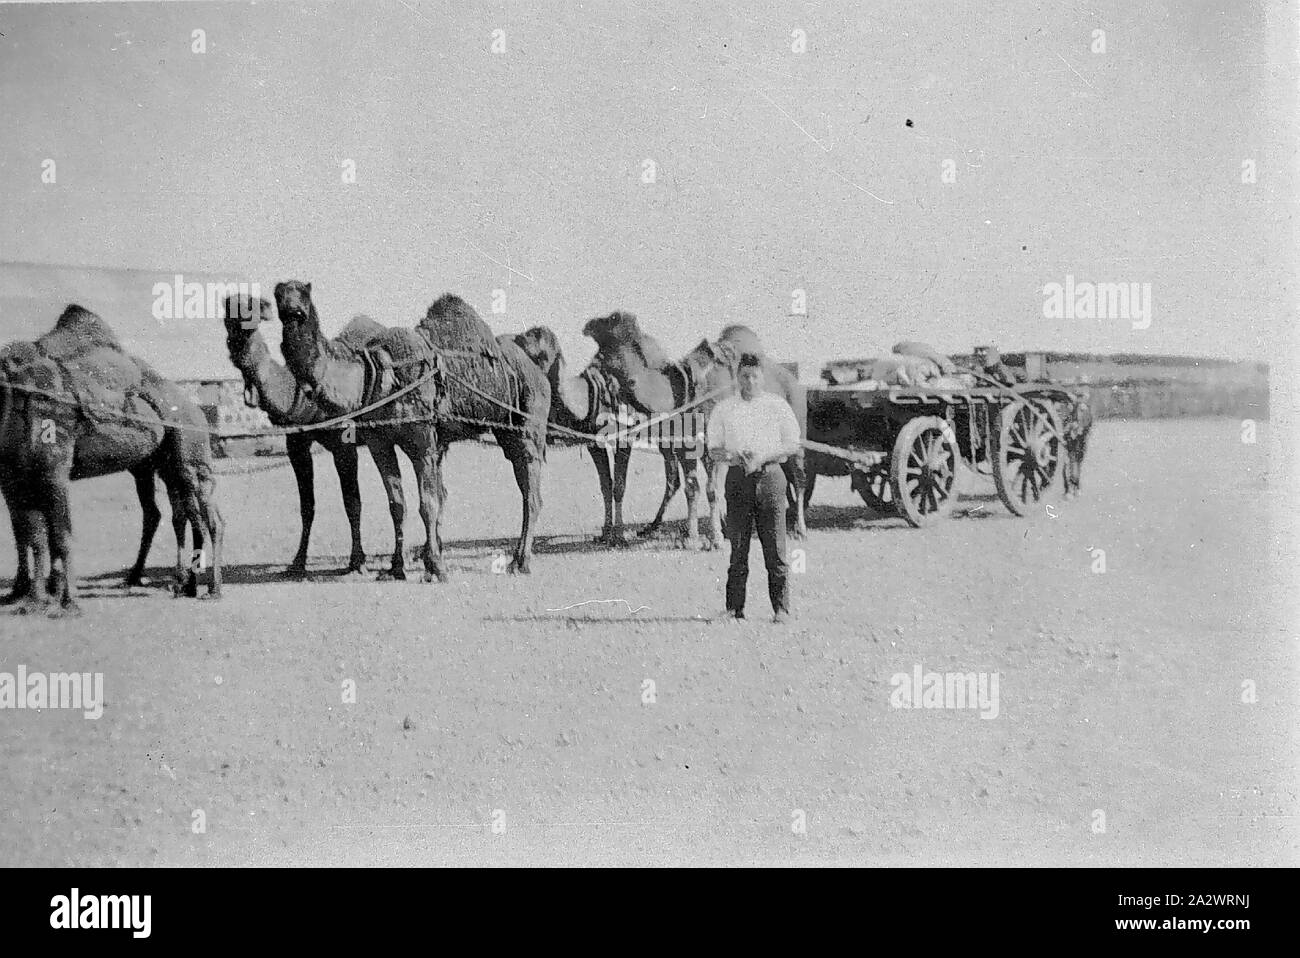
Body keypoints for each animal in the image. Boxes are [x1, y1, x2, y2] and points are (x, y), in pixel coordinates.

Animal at [0, 304, 223, 613]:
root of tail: (198, 409)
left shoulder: (52, 469)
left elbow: (57, 534)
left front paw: (65, 601)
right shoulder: (12, 475)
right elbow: (26, 533)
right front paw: (27, 596)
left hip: (189, 451)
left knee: (204, 516)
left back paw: (210, 588)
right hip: (158, 465)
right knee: (175, 514)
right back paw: (175, 583)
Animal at [222, 293, 390, 574]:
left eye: (252, 305)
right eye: (228, 306)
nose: (240, 325)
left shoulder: (344, 445)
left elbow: (352, 502)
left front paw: (357, 560)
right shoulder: (296, 443)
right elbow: (306, 506)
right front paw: (297, 562)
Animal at [275, 280, 548, 579]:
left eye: (303, 294)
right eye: (278, 294)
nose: (293, 310)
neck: (377, 375)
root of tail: (538, 371)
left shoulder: (422, 440)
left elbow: (427, 504)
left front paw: (436, 567)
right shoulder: (379, 442)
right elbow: (397, 503)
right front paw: (396, 567)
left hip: (530, 421)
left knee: (531, 491)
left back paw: (519, 562)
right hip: (506, 431)